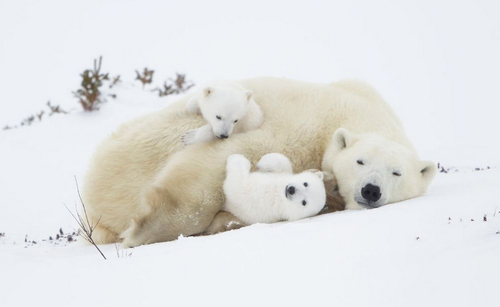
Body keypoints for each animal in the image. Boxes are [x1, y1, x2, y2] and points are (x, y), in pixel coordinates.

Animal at [80, 77, 436, 248]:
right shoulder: (300, 124)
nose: (371, 190)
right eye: (360, 161)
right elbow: (221, 161)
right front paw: (143, 232)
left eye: (396, 172)